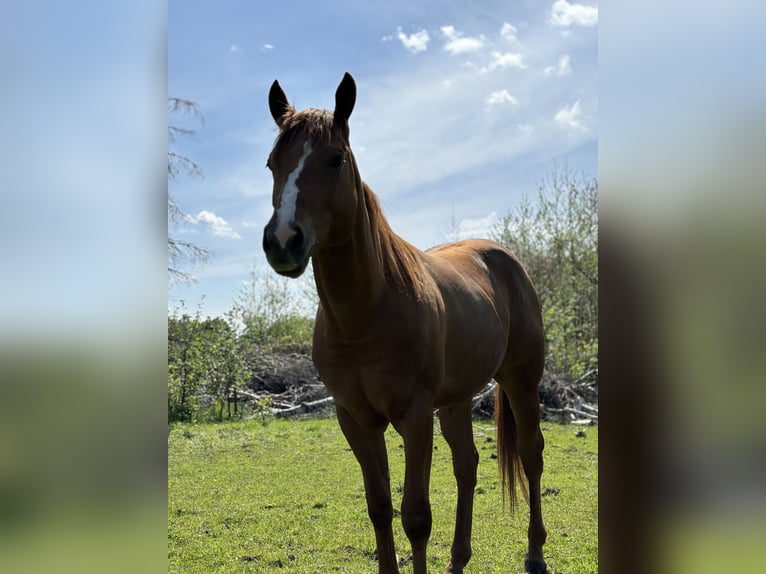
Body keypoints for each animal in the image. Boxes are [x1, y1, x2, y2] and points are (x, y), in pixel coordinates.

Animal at [262, 74, 544, 572]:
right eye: (272, 163)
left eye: (335, 159)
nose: (282, 241)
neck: (364, 317)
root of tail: (505, 258)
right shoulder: (355, 418)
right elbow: (379, 507)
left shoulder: (414, 416)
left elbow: (415, 516)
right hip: (456, 400)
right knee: (467, 464)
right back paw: (458, 559)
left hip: (521, 382)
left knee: (531, 457)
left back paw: (535, 555)